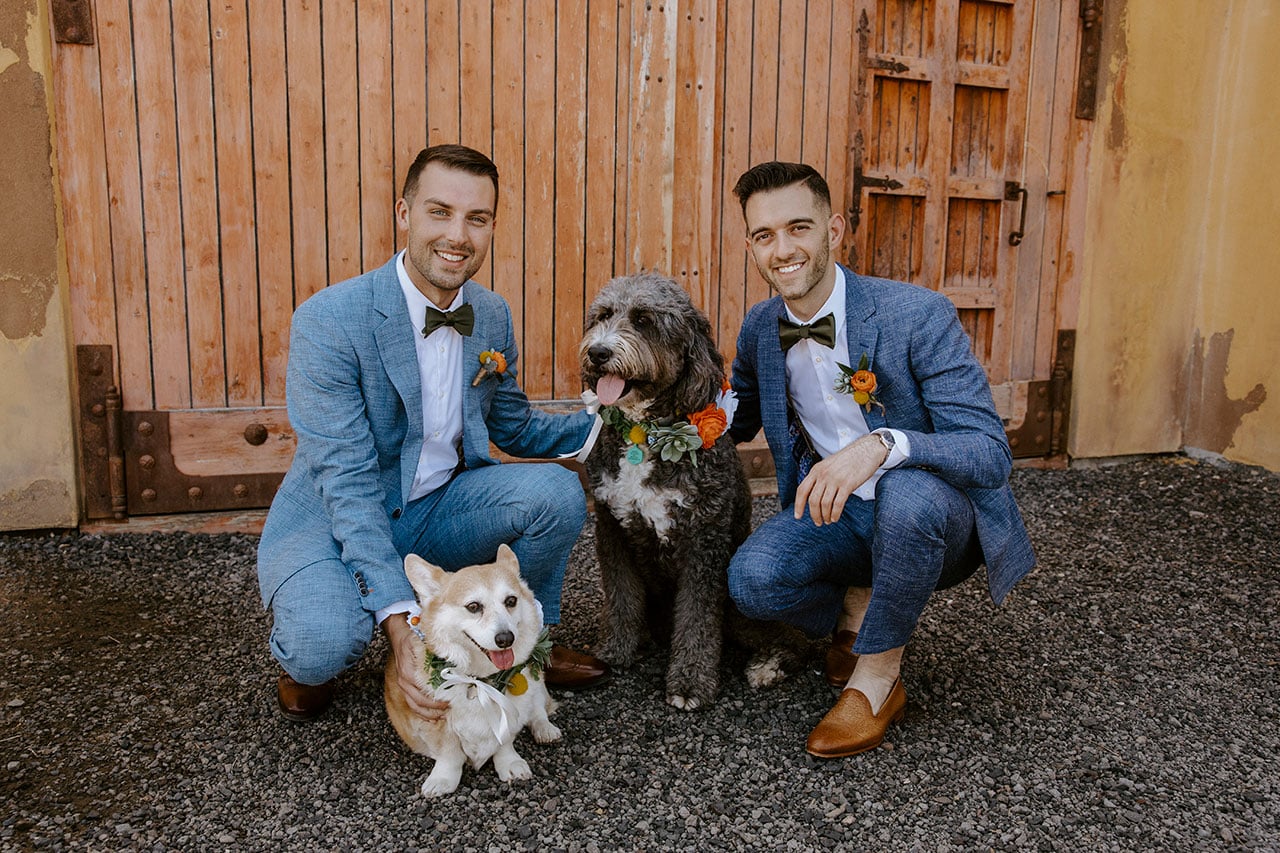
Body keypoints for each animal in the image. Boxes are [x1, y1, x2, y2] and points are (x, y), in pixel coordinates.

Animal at [378, 540, 560, 794]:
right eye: (473, 606)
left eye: (511, 601)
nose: (506, 638)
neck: (479, 681)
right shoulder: (435, 720)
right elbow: (449, 753)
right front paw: (442, 780)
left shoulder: (513, 711)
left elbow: (505, 741)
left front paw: (510, 763)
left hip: (535, 683)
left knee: (539, 707)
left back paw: (545, 729)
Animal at [583, 268, 808, 706]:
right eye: (602, 315)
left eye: (643, 320)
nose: (598, 352)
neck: (642, 433)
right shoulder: (612, 529)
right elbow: (621, 597)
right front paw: (615, 650)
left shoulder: (705, 542)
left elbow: (698, 617)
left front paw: (690, 682)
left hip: (740, 601)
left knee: (791, 638)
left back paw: (768, 665)